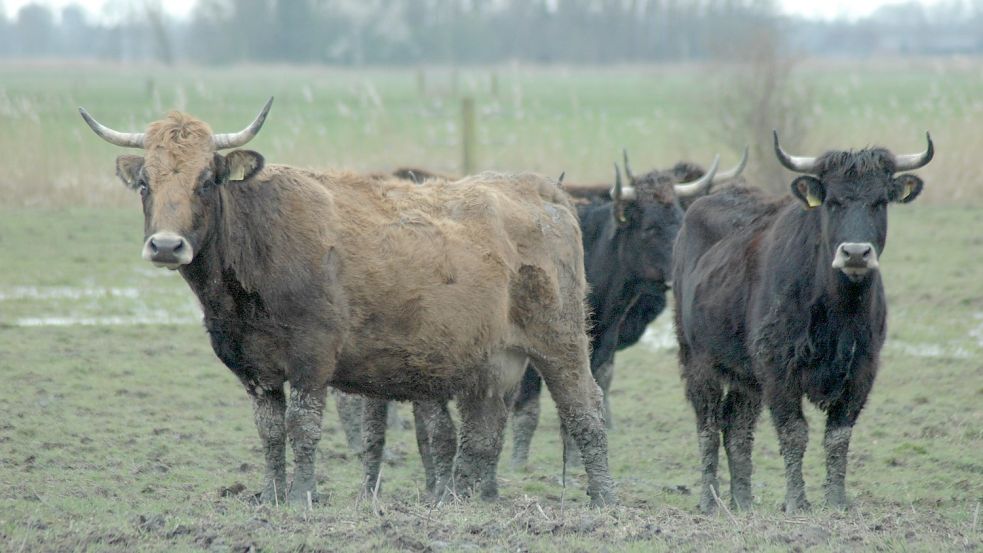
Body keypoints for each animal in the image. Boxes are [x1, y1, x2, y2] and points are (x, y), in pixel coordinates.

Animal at [79, 98, 616, 504]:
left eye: (205, 180)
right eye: (145, 183)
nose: (166, 245)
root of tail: (539, 188)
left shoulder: (313, 358)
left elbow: (303, 426)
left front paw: (301, 498)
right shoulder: (255, 370)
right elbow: (270, 431)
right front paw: (271, 496)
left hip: (561, 340)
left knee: (584, 409)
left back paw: (601, 499)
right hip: (491, 361)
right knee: (483, 430)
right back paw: (462, 501)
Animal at [672, 132, 936, 512]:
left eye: (879, 201)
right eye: (833, 202)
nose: (856, 253)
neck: (839, 309)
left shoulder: (862, 370)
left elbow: (838, 437)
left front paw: (837, 500)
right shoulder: (777, 368)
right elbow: (794, 432)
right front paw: (797, 501)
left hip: (744, 376)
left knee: (737, 429)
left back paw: (743, 502)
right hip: (696, 359)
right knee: (707, 425)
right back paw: (710, 501)